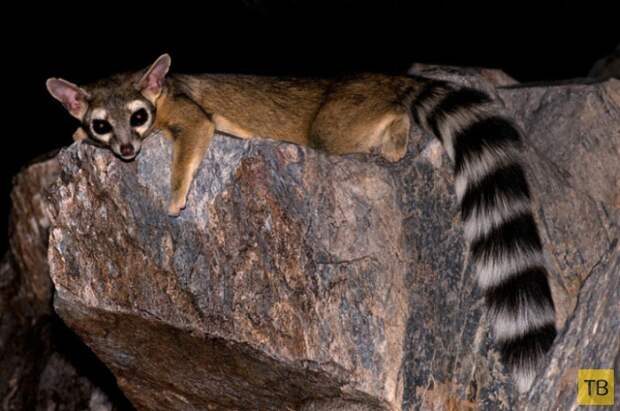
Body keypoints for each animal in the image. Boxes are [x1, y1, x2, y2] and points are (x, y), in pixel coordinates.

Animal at [44, 54, 556, 392]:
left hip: (339, 118)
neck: (155, 89)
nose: (127, 150)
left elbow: (195, 135)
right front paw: (75, 134)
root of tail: (388, 78)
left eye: (138, 115)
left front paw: (175, 194)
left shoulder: (186, 109)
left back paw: (395, 131)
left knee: (356, 124)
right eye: (102, 125)